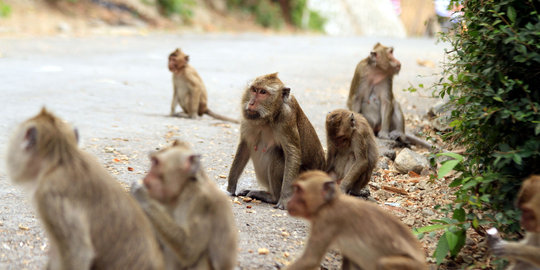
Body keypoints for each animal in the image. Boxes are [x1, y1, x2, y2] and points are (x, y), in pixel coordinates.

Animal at [132, 140, 237, 268]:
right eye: (153, 161)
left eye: (156, 163)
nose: (147, 177)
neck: (183, 190)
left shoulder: (199, 203)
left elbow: (190, 250)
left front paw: (141, 194)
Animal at [225, 73, 322, 210]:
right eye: (254, 90)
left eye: (263, 92)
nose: (251, 103)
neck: (268, 117)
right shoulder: (248, 118)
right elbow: (244, 146)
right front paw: (230, 188)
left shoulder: (287, 117)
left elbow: (292, 154)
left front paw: (284, 199)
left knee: (278, 154)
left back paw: (272, 197)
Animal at [284, 171, 428, 270]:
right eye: (295, 189)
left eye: (299, 190)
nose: (288, 201)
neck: (328, 204)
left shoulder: (327, 220)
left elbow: (310, 260)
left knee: (382, 264)